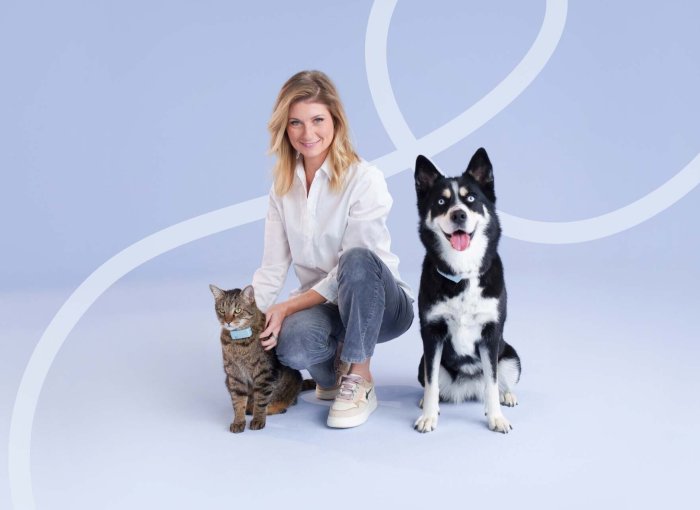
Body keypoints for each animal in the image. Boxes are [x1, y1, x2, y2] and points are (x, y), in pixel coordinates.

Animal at [209, 284, 310, 432]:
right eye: (222, 310)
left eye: (237, 310)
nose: (227, 321)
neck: (239, 341)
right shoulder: (234, 375)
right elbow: (238, 401)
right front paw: (238, 421)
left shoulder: (264, 373)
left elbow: (261, 400)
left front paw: (258, 419)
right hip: (227, 380)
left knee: (287, 401)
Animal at [412, 148, 524, 434]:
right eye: (442, 202)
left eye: (471, 198)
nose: (458, 215)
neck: (462, 274)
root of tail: (468, 387)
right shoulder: (432, 334)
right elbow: (431, 383)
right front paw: (429, 416)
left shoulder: (491, 334)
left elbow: (492, 383)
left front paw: (496, 418)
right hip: (422, 361)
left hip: (511, 357)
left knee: (498, 381)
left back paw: (508, 396)